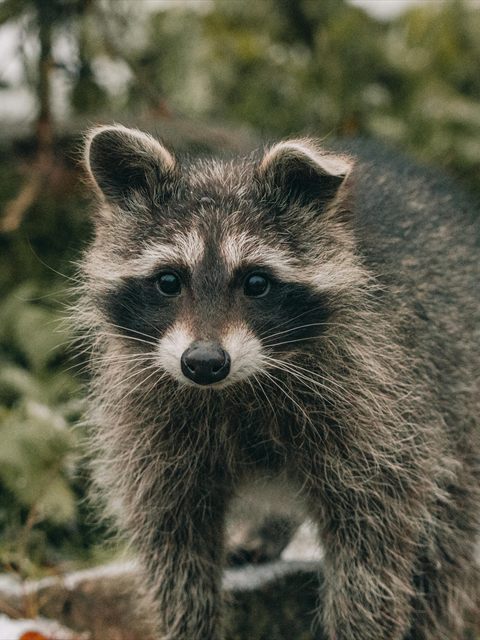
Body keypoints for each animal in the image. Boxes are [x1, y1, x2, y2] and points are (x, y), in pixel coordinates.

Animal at [76, 124, 480, 640]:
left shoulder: (381, 404)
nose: (204, 362)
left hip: (459, 398)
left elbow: (372, 553)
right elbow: (175, 550)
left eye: (256, 283)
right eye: (169, 281)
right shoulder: (152, 432)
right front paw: (189, 624)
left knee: (446, 548)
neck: (236, 388)